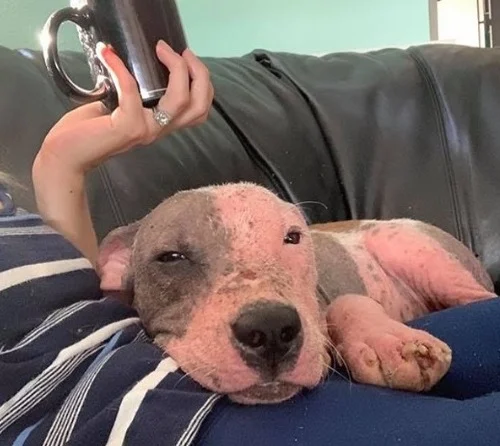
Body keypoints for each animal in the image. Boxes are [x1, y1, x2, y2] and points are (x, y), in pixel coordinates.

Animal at [98, 182, 496, 405]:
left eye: (293, 237)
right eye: (171, 257)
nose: (271, 329)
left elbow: (341, 303)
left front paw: (389, 342)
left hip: (410, 246)